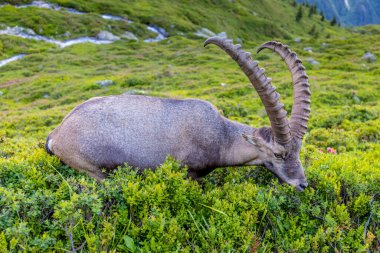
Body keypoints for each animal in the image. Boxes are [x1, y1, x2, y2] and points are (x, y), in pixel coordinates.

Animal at [45, 37, 312, 191]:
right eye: (278, 154)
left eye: (298, 151)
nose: (302, 184)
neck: (222, 136)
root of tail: (56, 135)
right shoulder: (189, 173)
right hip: (93, 169)